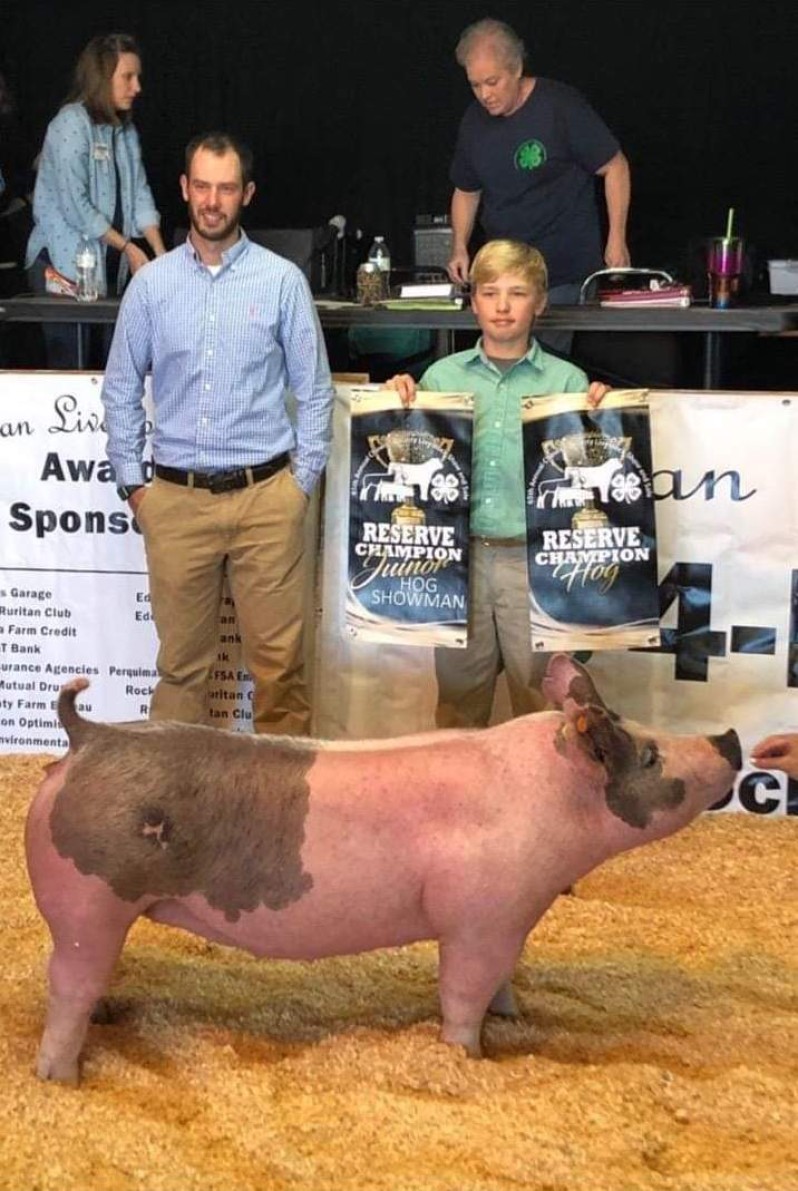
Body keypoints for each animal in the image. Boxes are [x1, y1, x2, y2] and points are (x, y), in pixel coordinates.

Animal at [21, 657, 743, 1086]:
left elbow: (504, 977)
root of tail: (89, 738)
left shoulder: (513, 914)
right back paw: (62, 1080)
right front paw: (468, 1056)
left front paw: (512, 1017)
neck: (550, 798)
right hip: (88, 901)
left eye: (645, 729)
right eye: (649, 756)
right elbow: (462, 991)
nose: (730, 738)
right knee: (68, 985)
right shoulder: (478, 918)